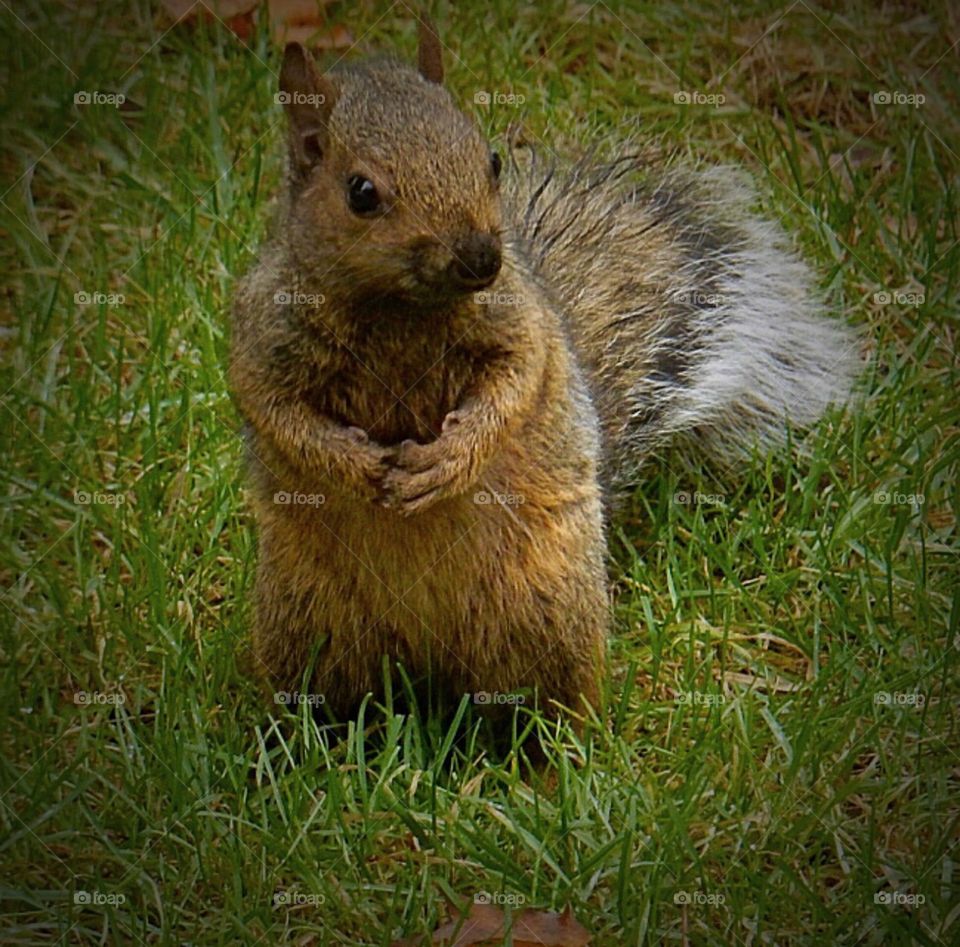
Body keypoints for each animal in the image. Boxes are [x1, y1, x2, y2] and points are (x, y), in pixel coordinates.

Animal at [229, 20, 859, 743]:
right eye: (361, 192)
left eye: (491, 160)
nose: (480, 257)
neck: (400, 311)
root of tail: (426, 659)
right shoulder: (262, 333)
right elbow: (276, 410)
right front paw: (355, 465)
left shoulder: (522, 324)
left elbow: (517, 385)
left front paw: (448, 461)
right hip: (310, 619)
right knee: (334, 701)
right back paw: (307, 747)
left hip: (541, 606)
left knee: (543, 704)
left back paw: (550, 757)